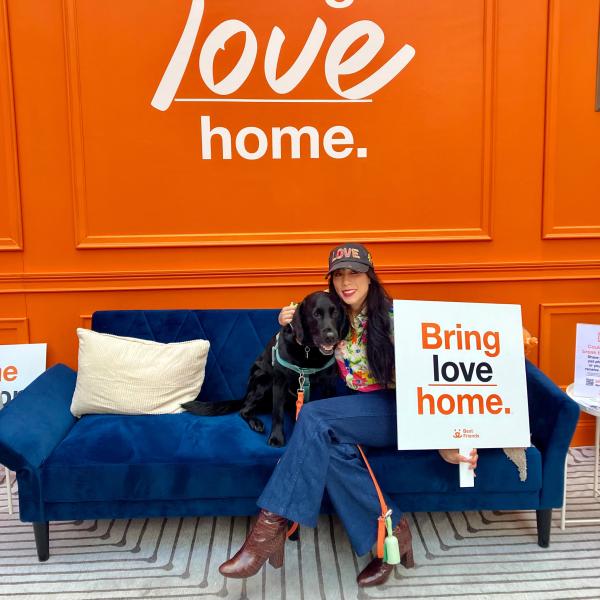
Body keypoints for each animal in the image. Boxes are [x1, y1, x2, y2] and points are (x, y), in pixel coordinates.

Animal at [182, 291, 349, 447]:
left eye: (335, 313)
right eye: (316, 314)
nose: (331, 337)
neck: (308, 350)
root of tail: (246, 394)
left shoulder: (329, 383)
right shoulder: (279, 382)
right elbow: (277, 414)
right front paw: (276, 438)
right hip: (264, 379)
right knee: (244, 409)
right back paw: (256, 422)